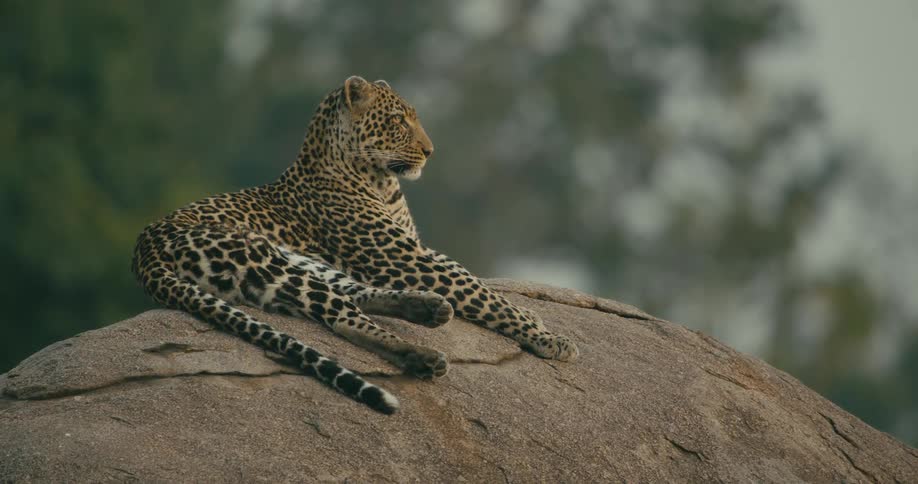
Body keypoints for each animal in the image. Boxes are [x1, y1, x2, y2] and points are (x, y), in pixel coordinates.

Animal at [132, 76, 579, 414]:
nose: (430, 151)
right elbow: (479, 292)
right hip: (263, 261)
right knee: (341, 316)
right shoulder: (404, 257)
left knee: (351, 294)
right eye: (398, 121)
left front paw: (534, 318)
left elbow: (469, 277)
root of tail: (143, 252)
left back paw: (427, 309)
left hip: (302, 263)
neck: (381, 181)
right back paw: (423, 355)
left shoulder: (416, 249)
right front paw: (550, 339)